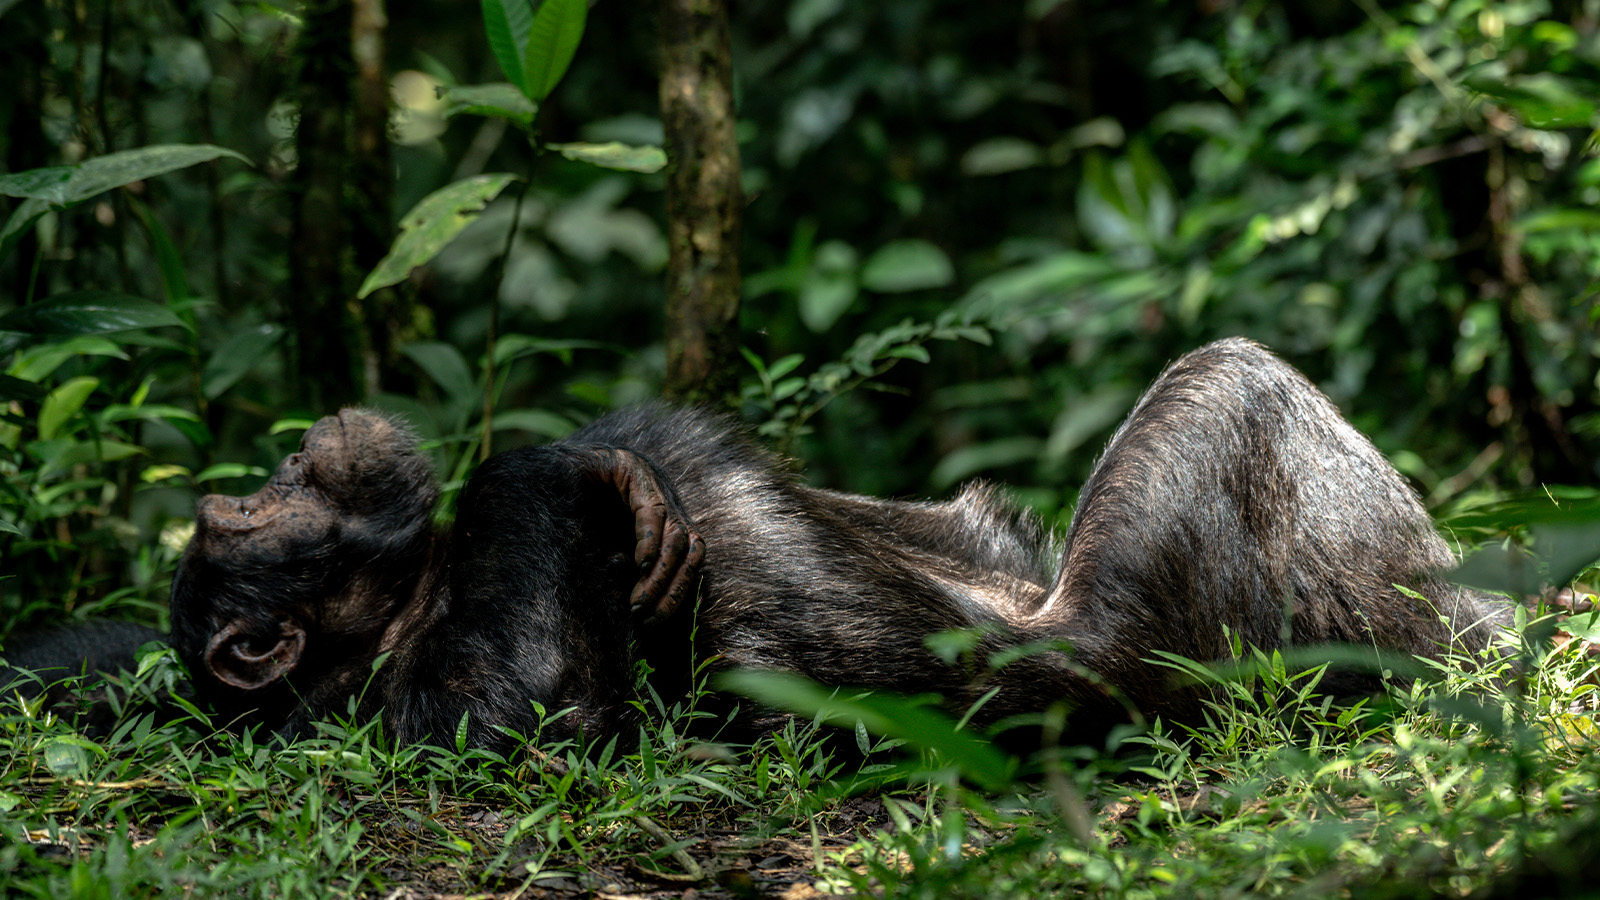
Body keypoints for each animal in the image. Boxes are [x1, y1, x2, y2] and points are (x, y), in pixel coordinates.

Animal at [156, 336, 1504, 743]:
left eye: (252, 495)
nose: (297, 448)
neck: (419, 587)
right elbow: (530, 706)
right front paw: (574, 470)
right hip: (1194, 640)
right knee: (1231, 382)